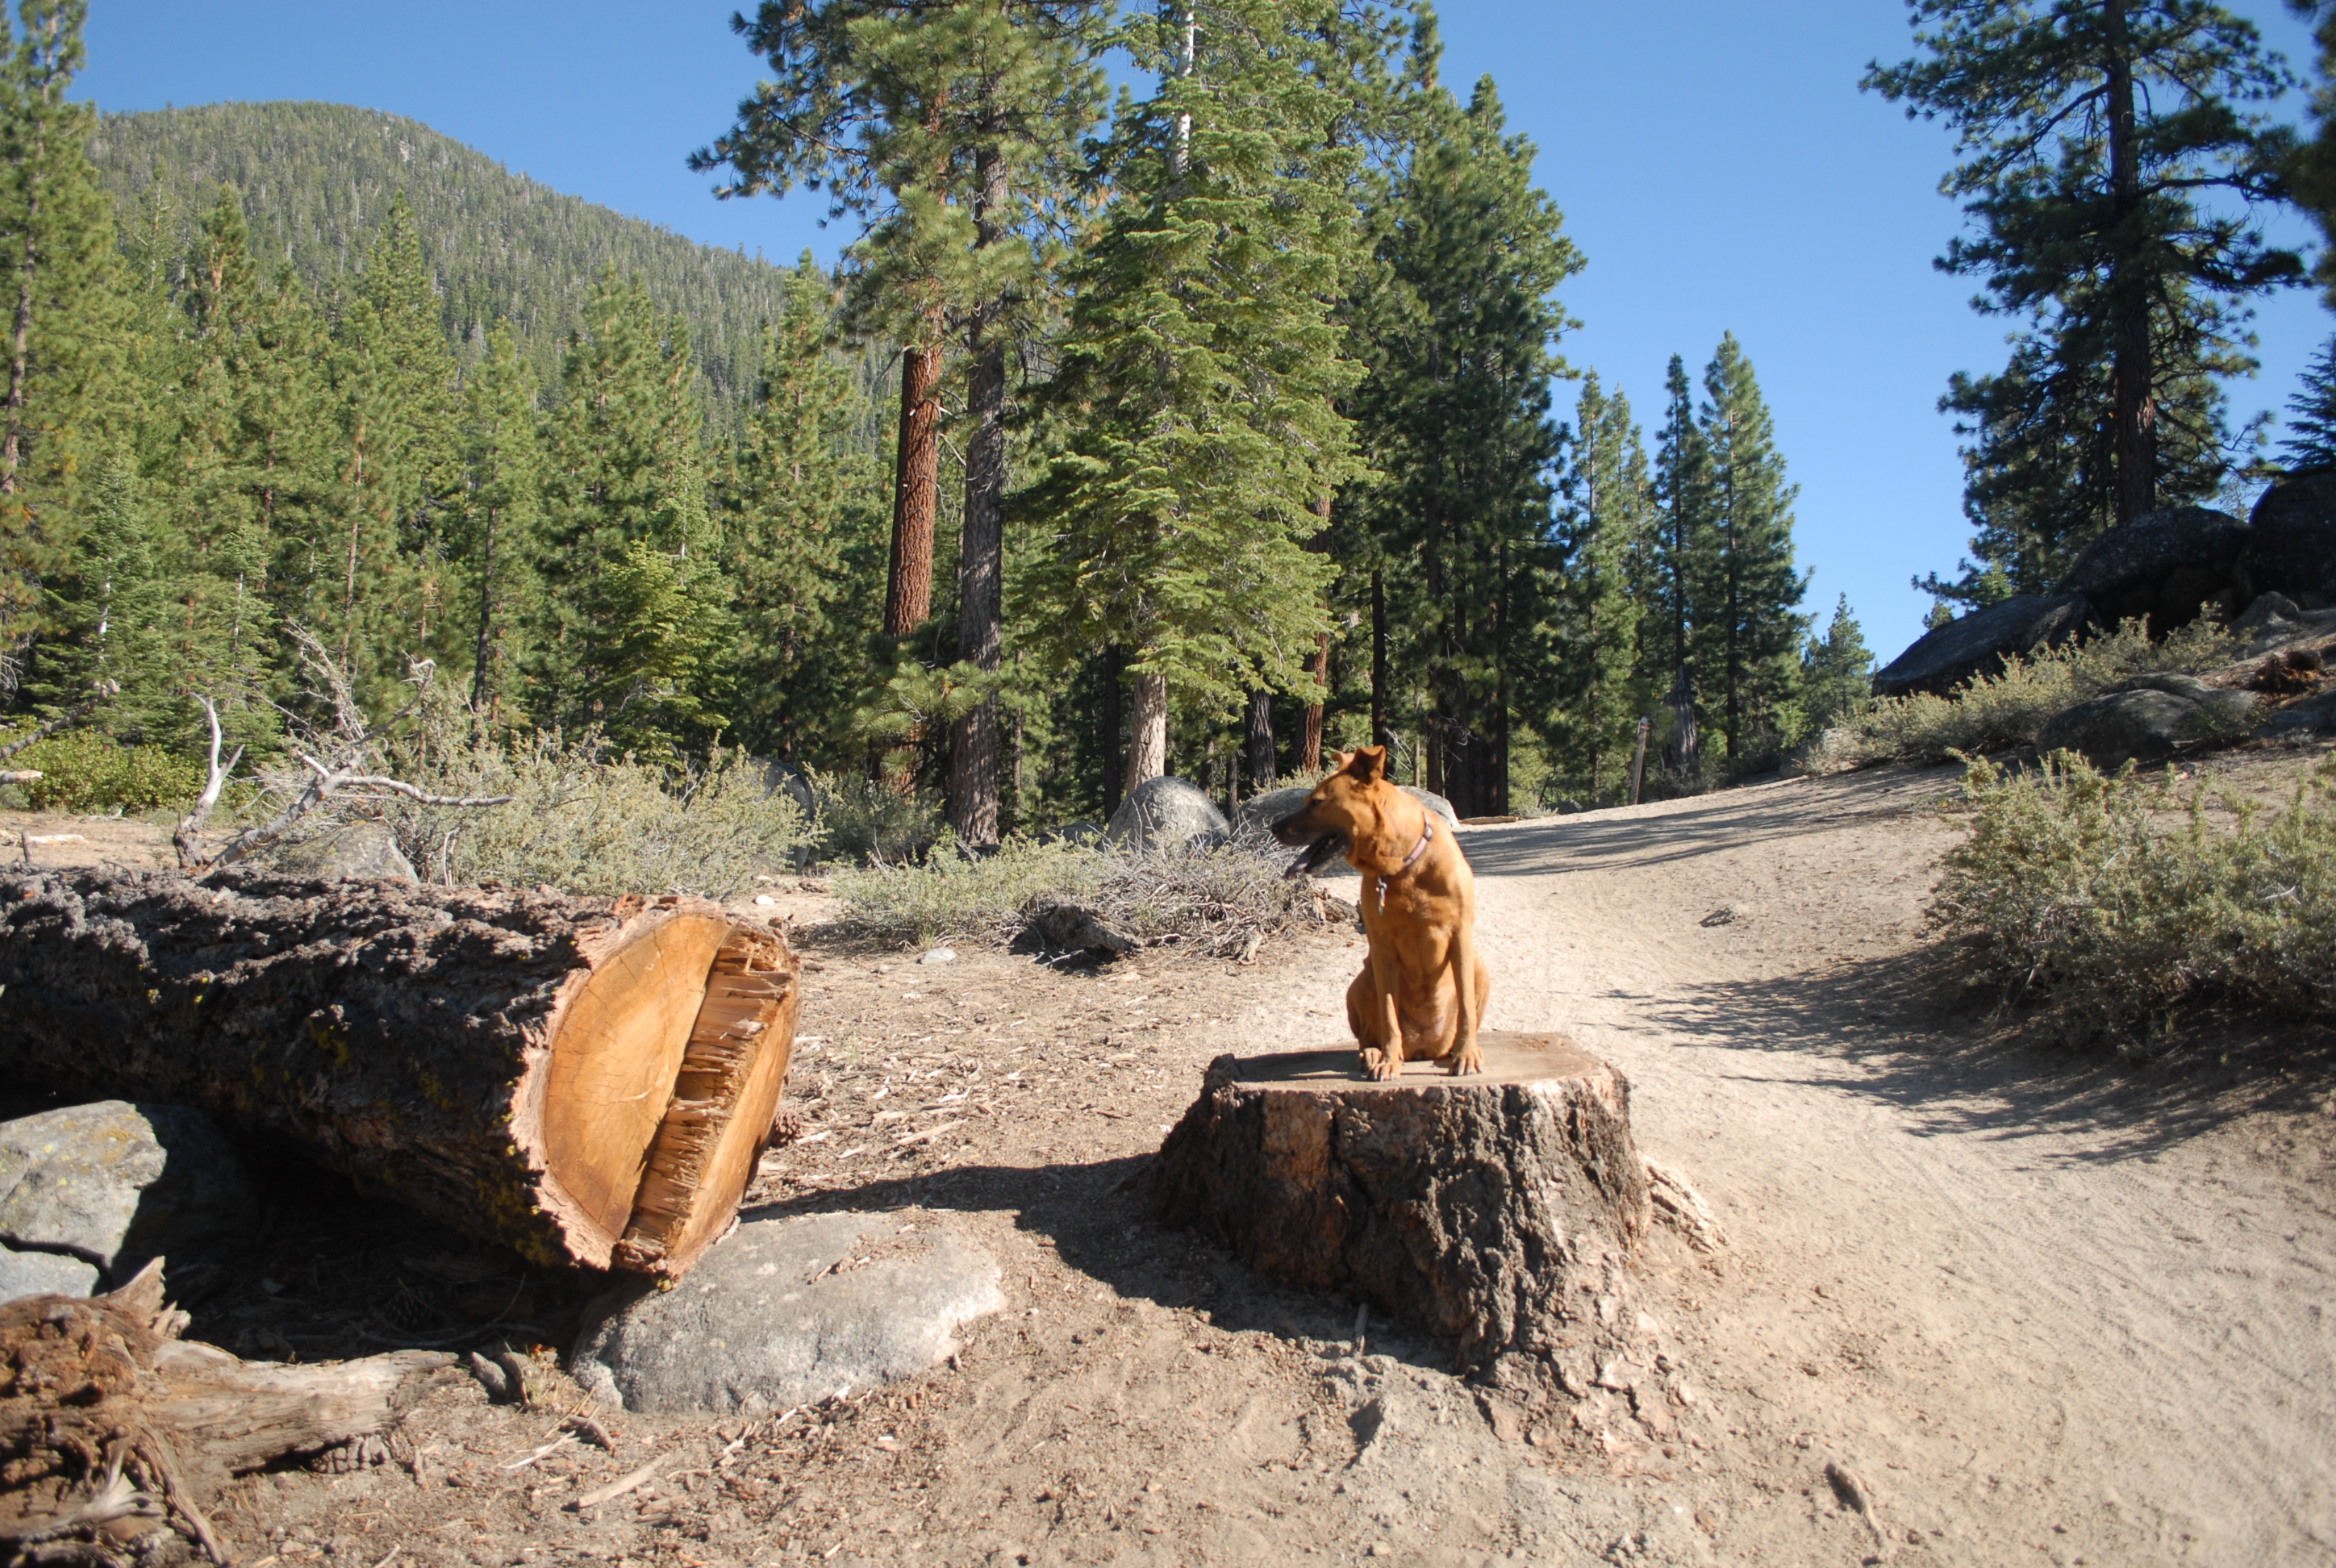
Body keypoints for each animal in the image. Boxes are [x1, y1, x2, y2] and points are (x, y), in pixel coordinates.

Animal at [1271, 745, 1490, 1079]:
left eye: (1316, 802)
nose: (1273, 827)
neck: (1402, 866)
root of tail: (1423, 1048)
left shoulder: (1460, 935)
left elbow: (1466, 1006)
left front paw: (1466, 1054)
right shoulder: (1383, 948)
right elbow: (1388, 1014)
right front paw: (1388, 1060)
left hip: (1480, 968)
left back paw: (1454, 1051)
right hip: (1361, 981)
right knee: (1367, 1035)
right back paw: (1374, 1054)